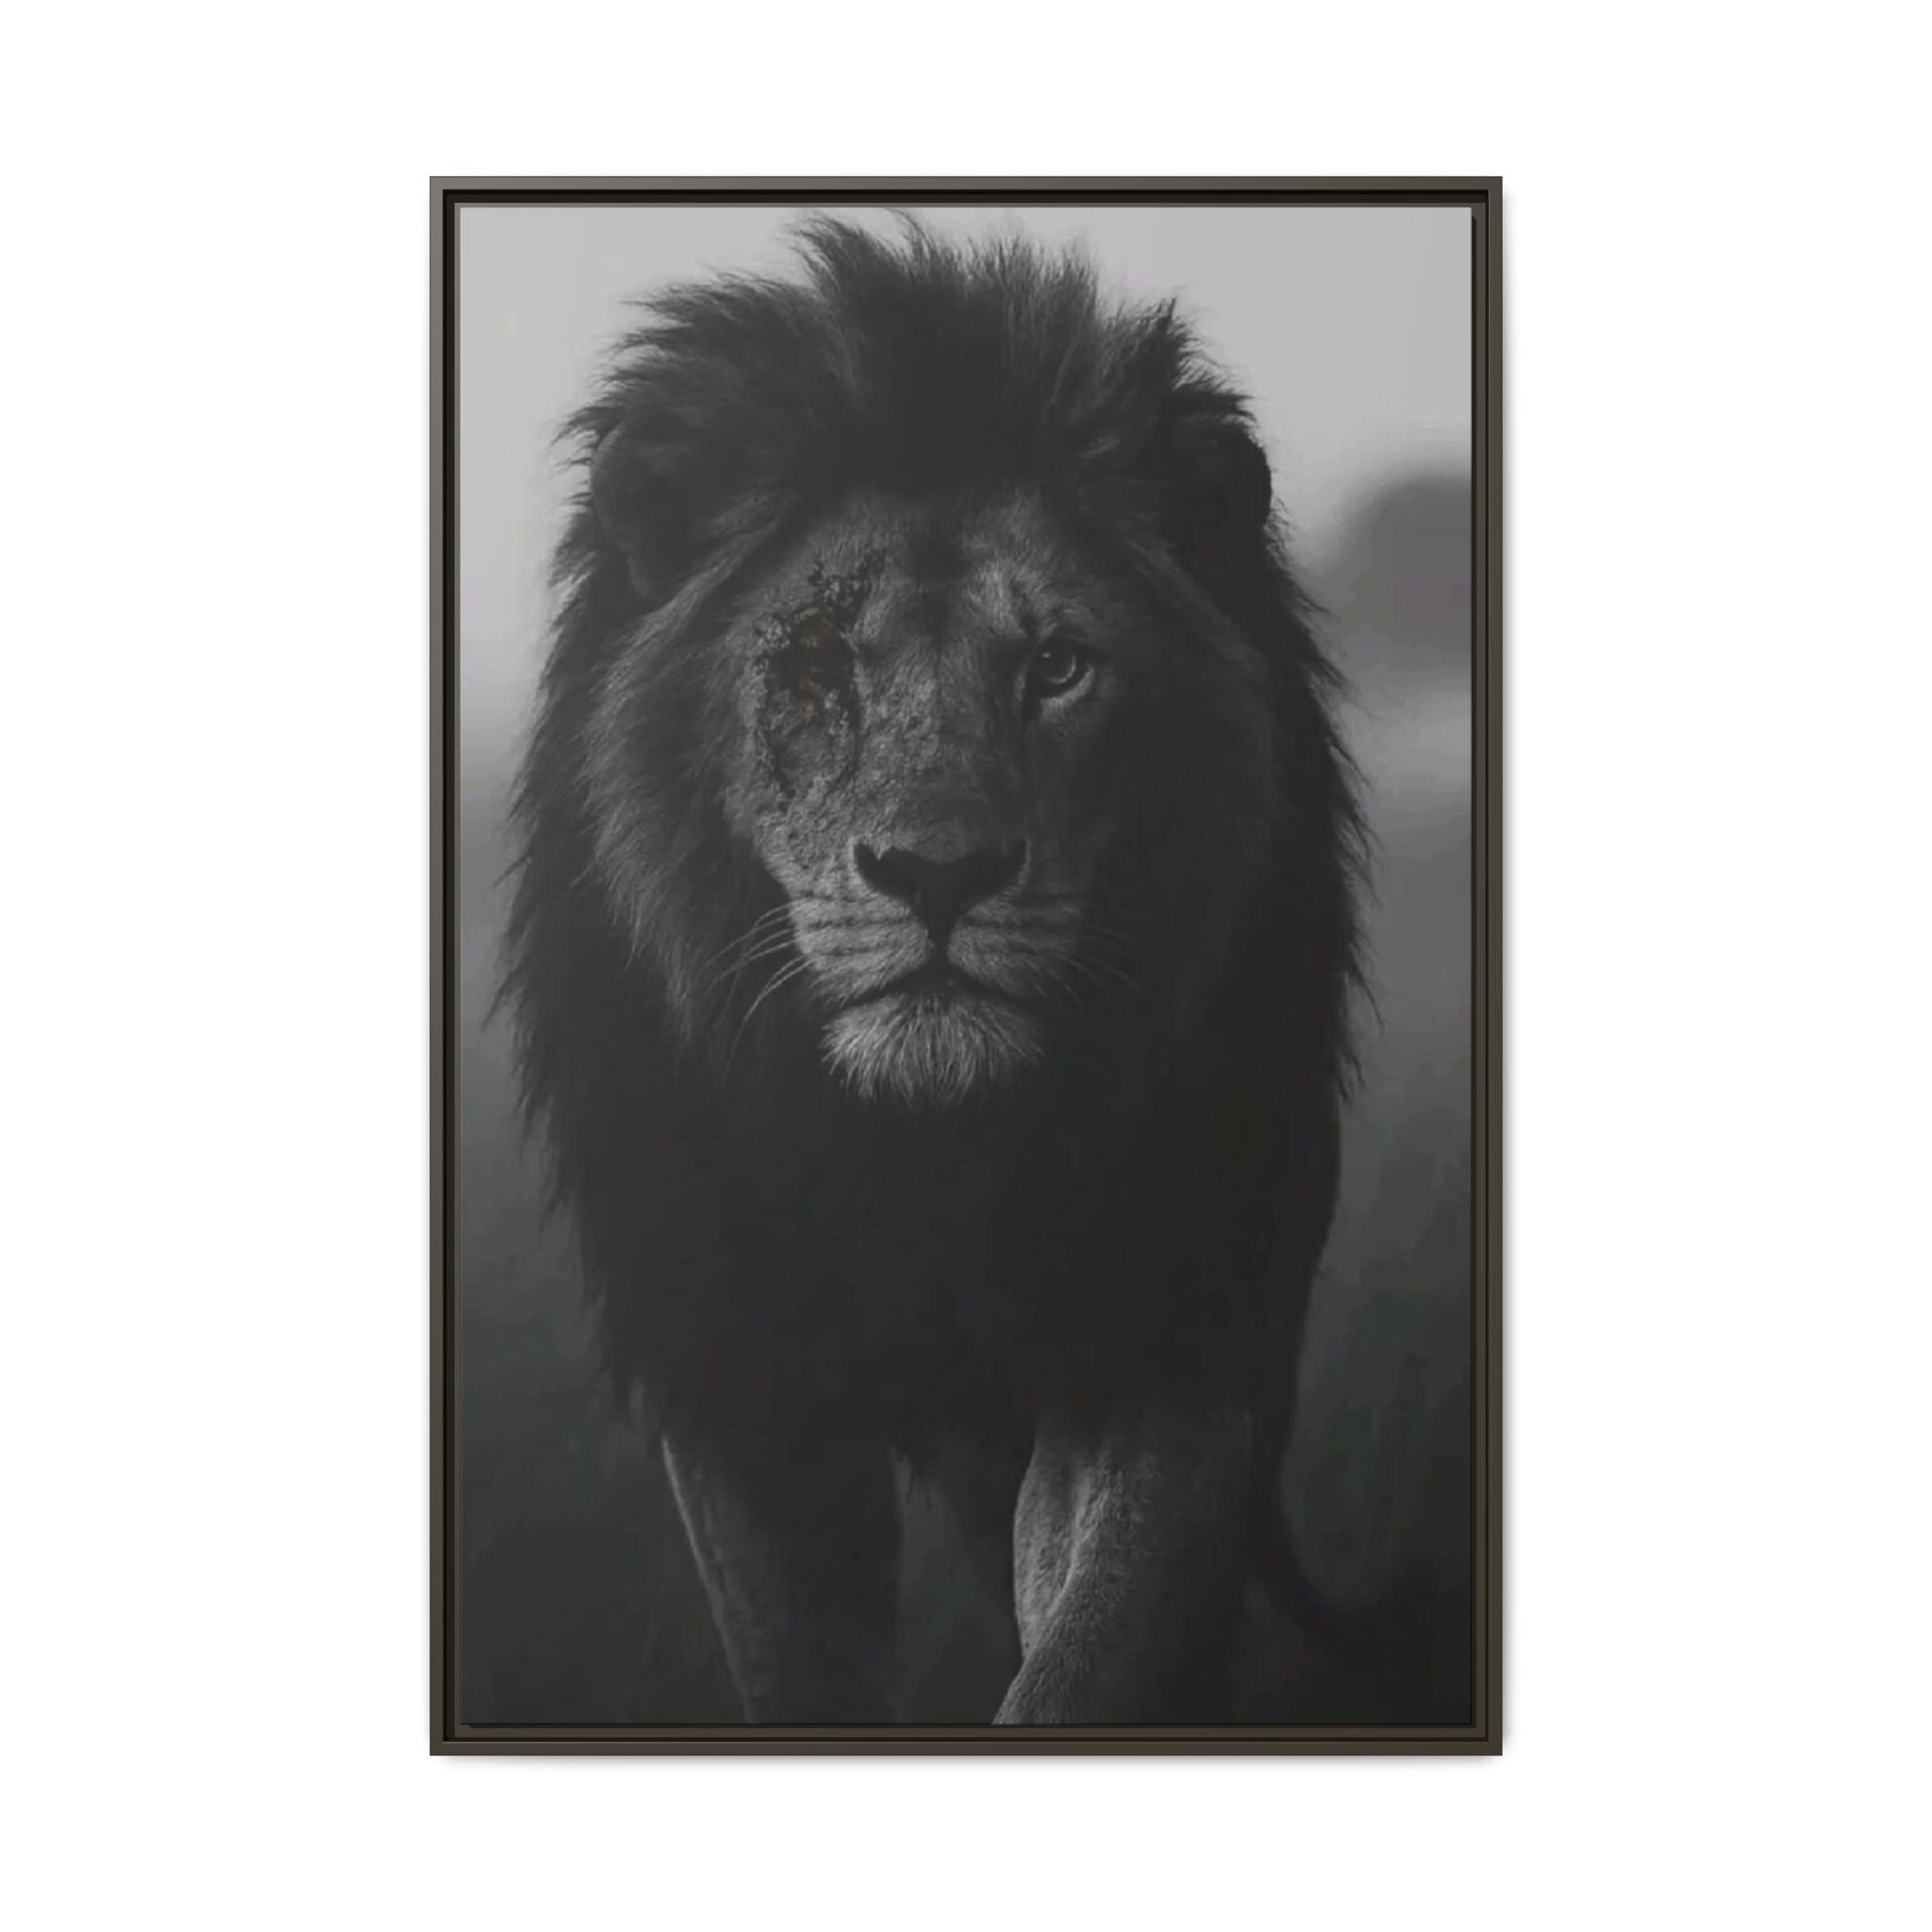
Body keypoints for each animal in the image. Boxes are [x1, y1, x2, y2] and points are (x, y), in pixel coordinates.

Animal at [505, 219, 1362, 1723]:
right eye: (814, 665)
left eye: (1059, 667)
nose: (940, 872)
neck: (922, 1157)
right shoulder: (736, 1375)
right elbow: (797, 1669)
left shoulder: (1163, 1333)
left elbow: (1091, 1646)